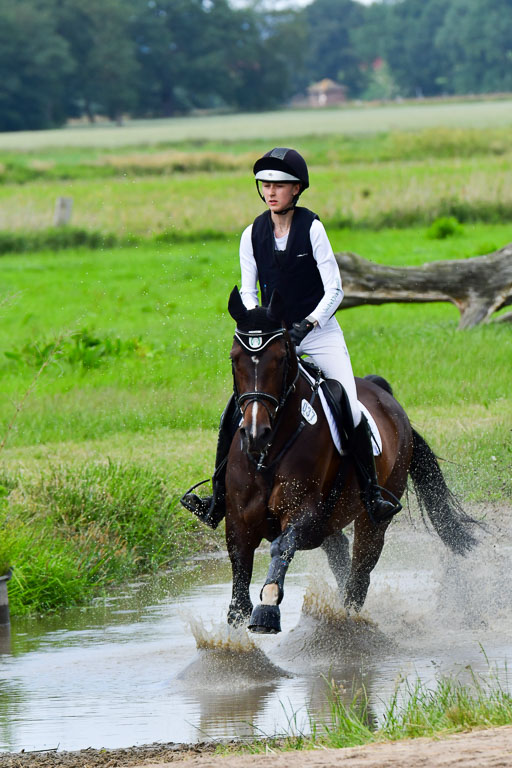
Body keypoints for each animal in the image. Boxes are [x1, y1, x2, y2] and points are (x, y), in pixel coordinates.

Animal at [223, 286, 479, 633]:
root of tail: (385, 395)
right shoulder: (238, 521)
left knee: (359, 575)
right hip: (328, 524)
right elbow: (239, 580)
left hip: (374, 517)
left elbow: (281, 547)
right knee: (342, 560)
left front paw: (267, 608)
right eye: (234, 359)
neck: (269, 452)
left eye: (280, 359)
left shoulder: (301, 513)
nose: (254, 432)